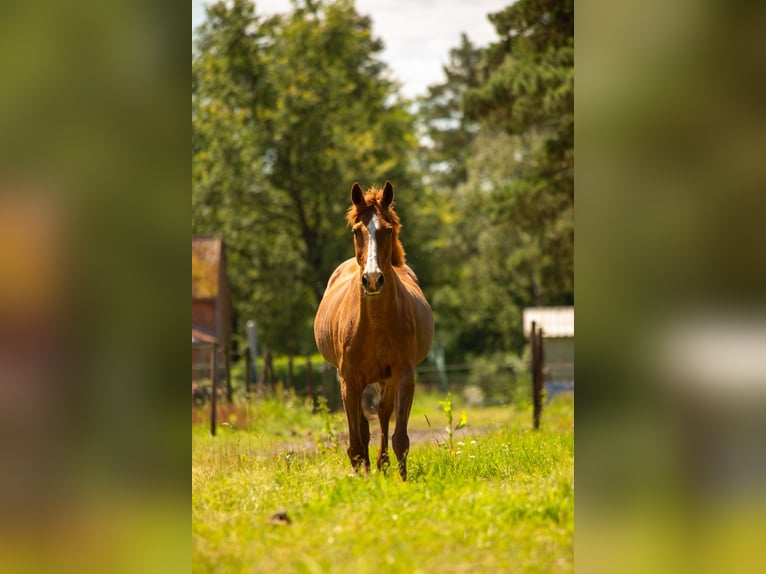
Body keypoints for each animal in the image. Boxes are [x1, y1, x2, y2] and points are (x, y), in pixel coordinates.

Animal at [316, 182, 436, 480]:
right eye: (356, 230)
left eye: (388, 229)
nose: (372, 279)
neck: (374, 321)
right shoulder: (348, 379)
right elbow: (355, 441)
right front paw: (362, 476)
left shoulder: (403, 375)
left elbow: (399, 437)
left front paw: (401, 479)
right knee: (363, 423)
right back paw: (370, 468)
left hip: (385, 378)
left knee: (382, 414)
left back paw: (381, 465)